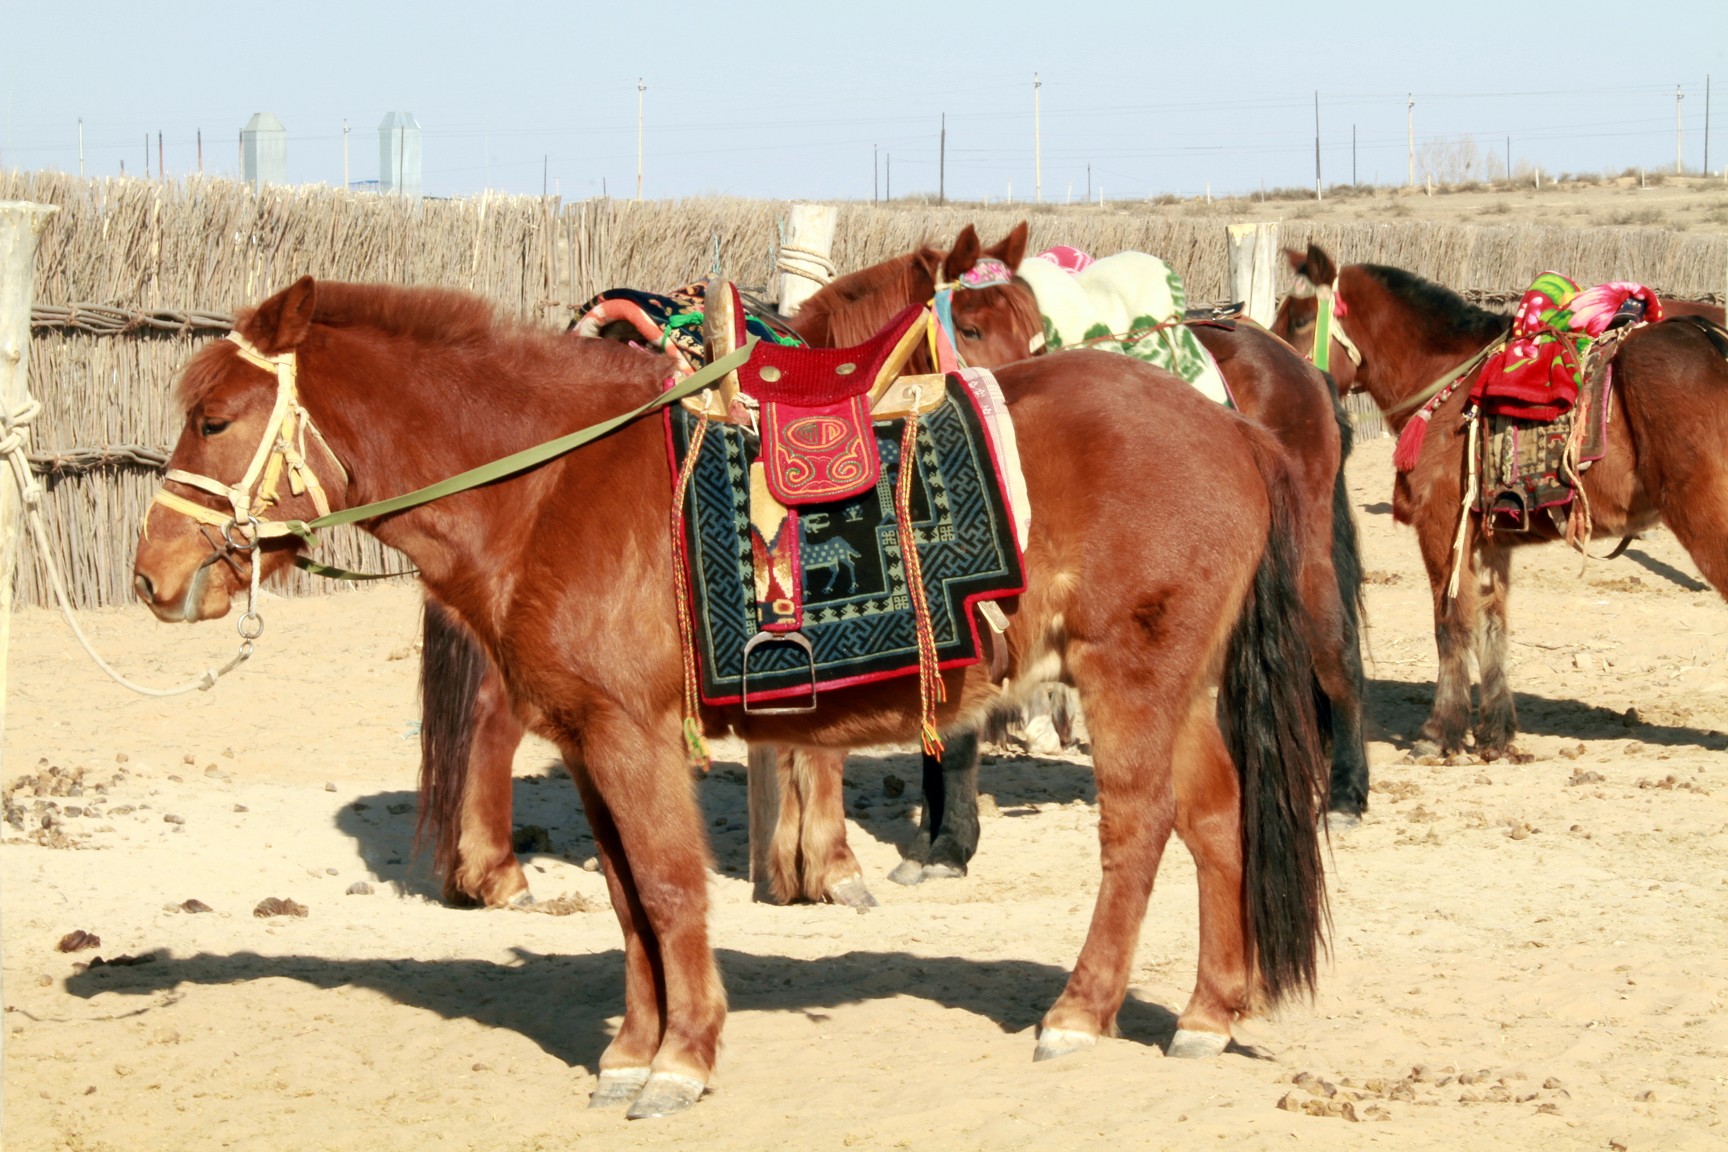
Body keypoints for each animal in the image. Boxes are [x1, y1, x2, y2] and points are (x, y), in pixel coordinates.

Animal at [134, 274, 1327, 1112]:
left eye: (216, 418)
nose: (151, 577)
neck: (553, 483)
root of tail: (1233, 426)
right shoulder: (588, 739)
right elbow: (627, 899)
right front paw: (632, 1049)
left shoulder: (631, 735)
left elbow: (668, 890)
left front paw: (684, 1058)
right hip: (1179, 687)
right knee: (1217, 819)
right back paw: (1211, 1011)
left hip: (1132, 680)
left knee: (1137, 831)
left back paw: (1080, 1013)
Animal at [1271, 245, 1728, 756]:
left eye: (1300, 319)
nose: (1281, 376)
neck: (1449, 383)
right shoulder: (1490, 541)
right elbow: (1493, 625)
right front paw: (1494, 732)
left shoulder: (1442, 529)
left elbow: (1450, 624)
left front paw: (1440, 731)